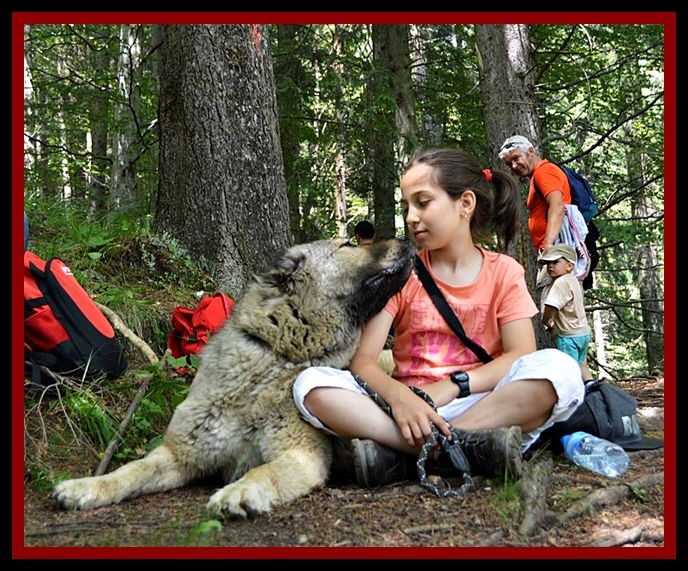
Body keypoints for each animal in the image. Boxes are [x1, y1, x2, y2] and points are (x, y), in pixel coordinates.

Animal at [53, 238, 414, 519]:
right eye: (349, 244)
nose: (406, 238)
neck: (276, 355)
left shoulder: (300, 454)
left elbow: (263, 470)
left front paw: (239, 492)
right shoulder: (180, 453)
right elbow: (132, 469)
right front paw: (87, 486)